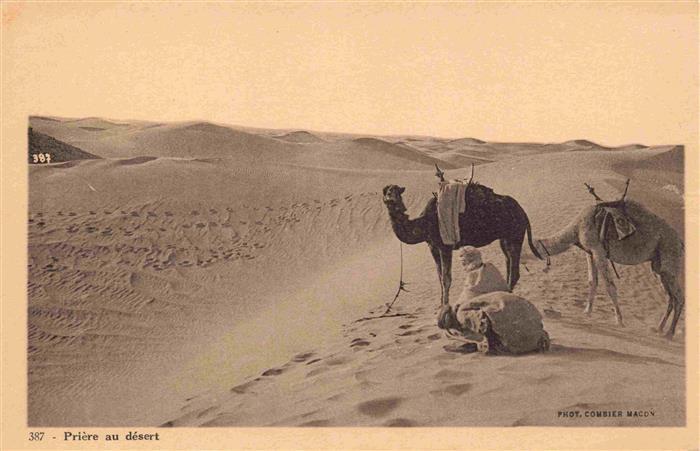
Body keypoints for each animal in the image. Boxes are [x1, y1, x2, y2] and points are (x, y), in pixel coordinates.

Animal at [382, 181, 543, 307]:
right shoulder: (432, 246)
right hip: (505, 238)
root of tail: (522, 212)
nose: (390, 199)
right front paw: (440, 304)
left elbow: (446, 279)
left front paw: (445, 307)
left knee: (514, 269)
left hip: (515, 235)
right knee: (508, 262)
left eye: (396, 192)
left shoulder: (445, 246)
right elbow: (440, 277)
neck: (424, 223)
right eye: (386, 192)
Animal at [533, 189, 684, 339]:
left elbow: (609, 286)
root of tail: (681, 242)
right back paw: (659, 329)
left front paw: (619, 321)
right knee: (670, 297)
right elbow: (592, 281)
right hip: (658, 267)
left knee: (679, 297)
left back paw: (669, 334)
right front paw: (587, 312)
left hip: (670, 257)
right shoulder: (589, 252)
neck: (577, 228)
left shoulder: (598, 251)